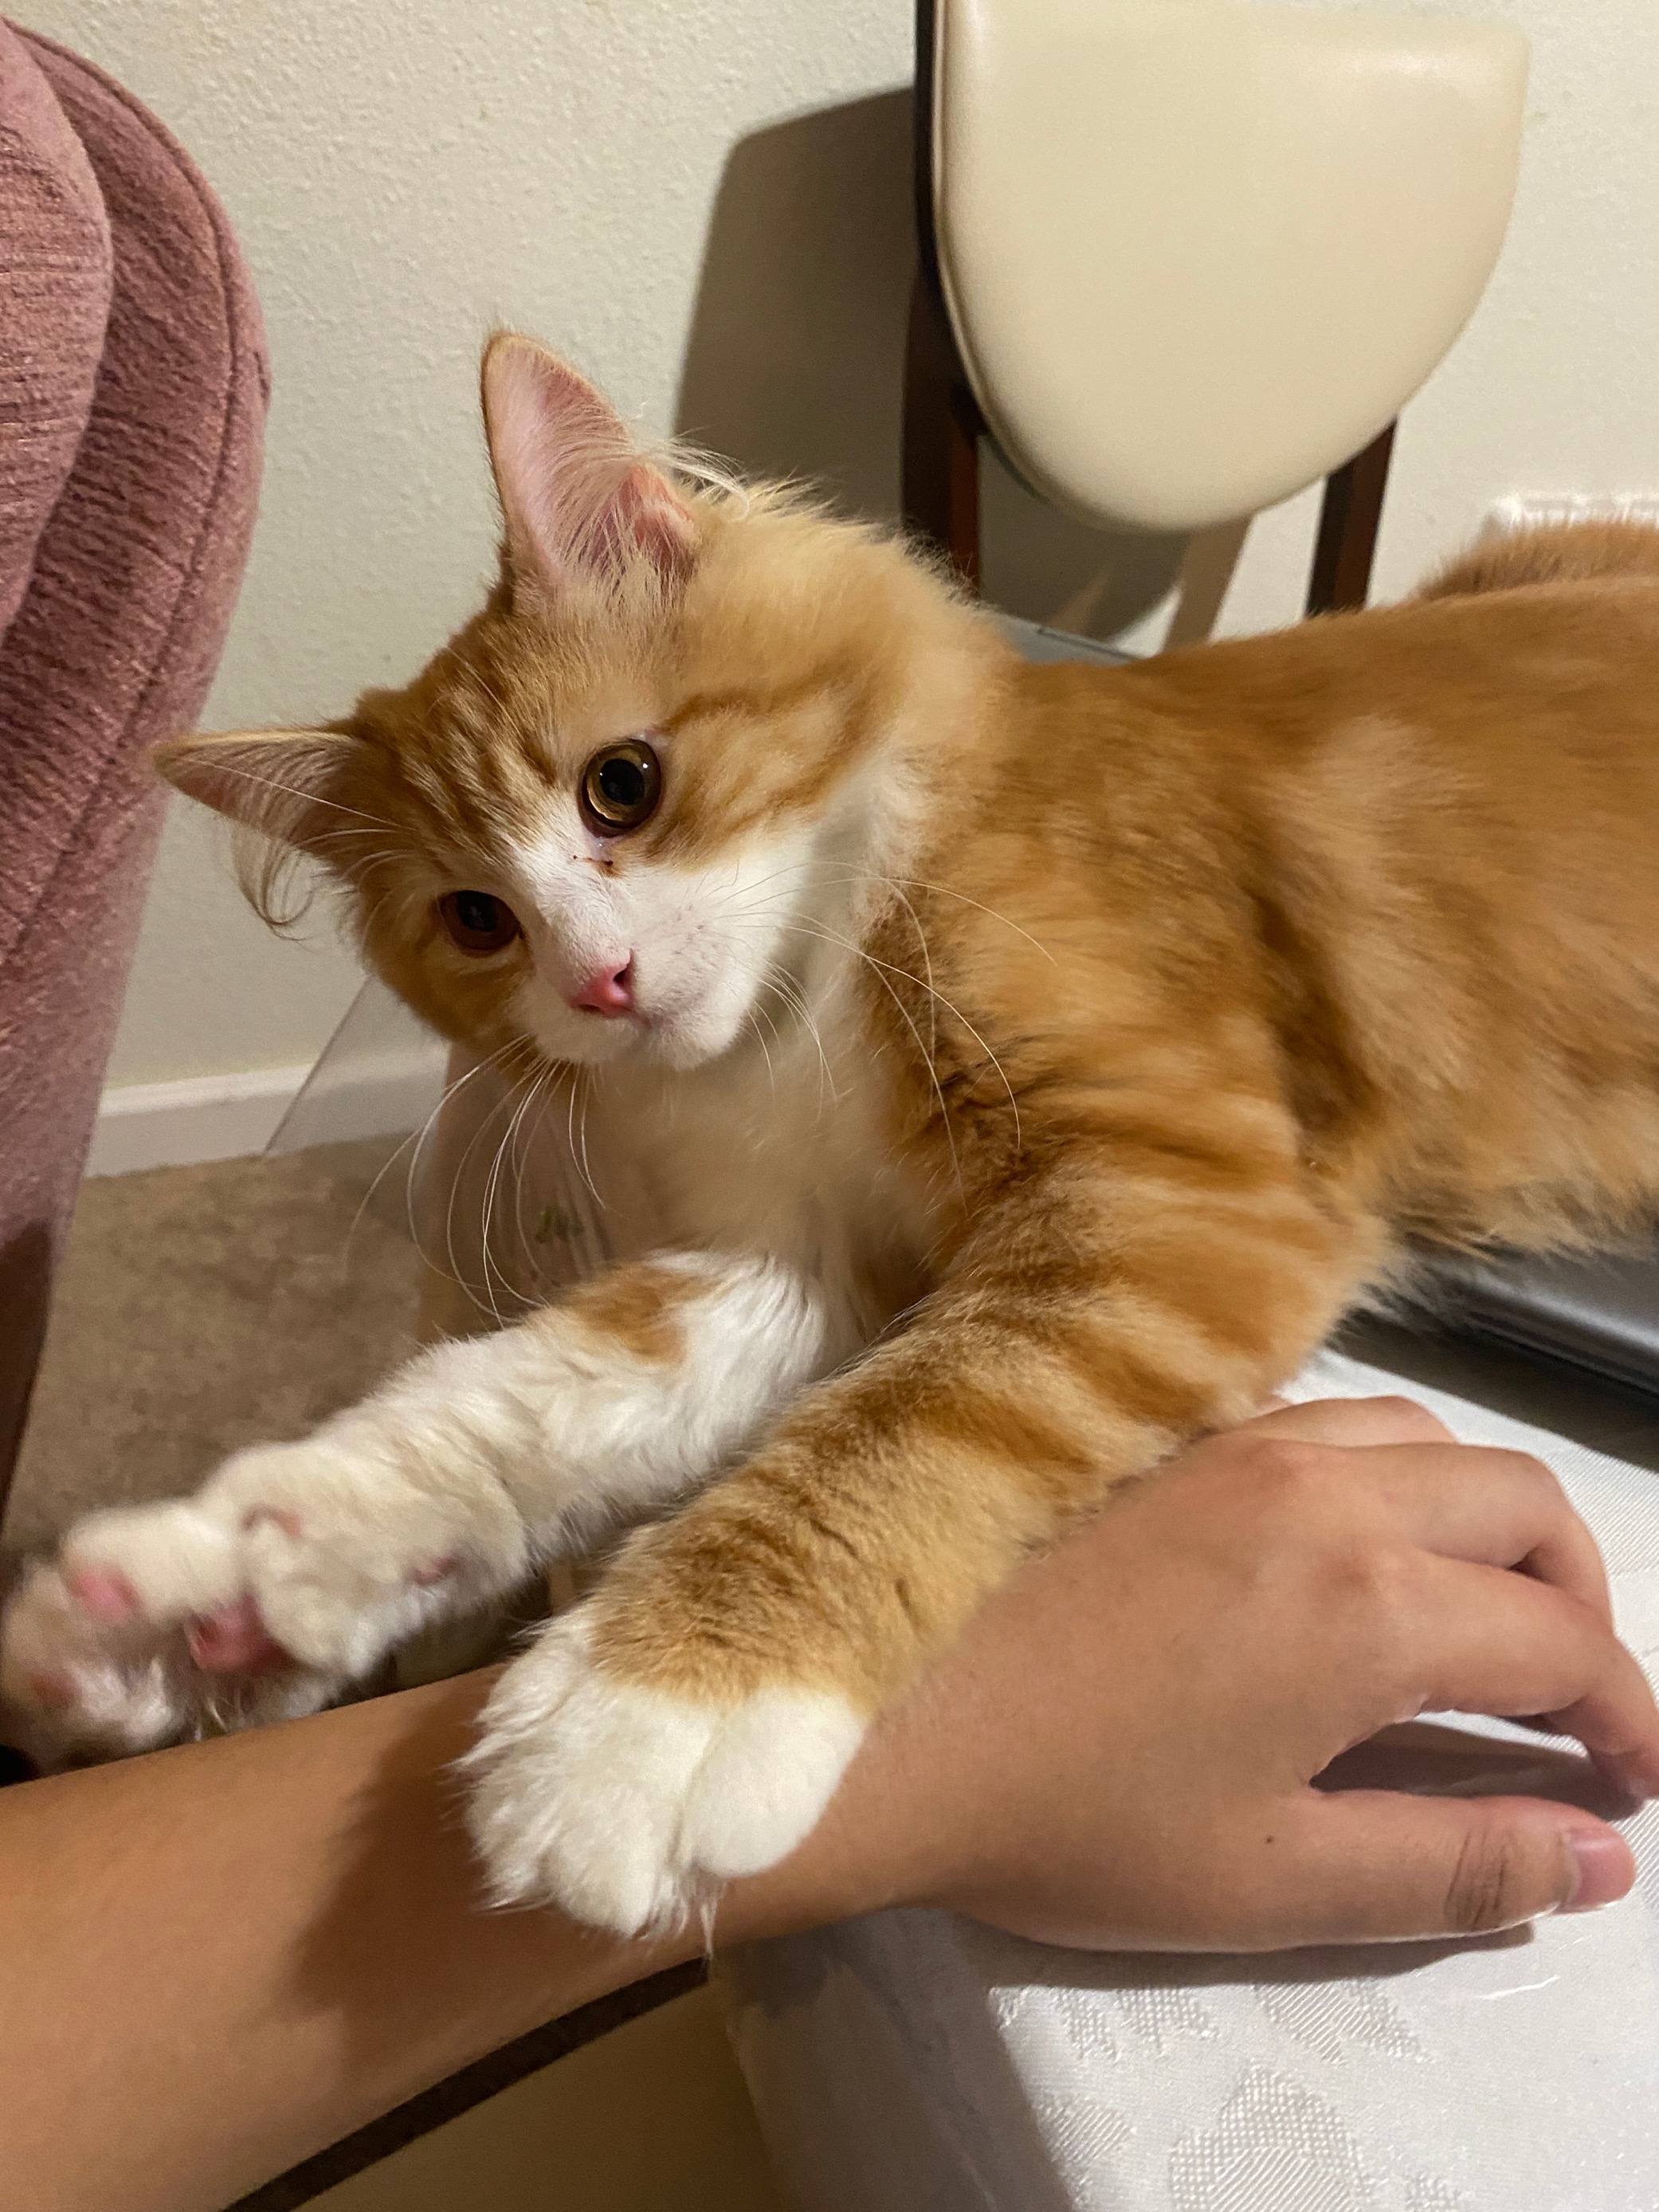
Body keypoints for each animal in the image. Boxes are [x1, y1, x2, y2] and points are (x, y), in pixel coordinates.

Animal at [7, 331, 1659, 1938]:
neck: (802, 1008)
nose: (599, 983)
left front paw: (642, 1718)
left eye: (622, 785)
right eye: (476, 920)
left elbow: (903, 1425)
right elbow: (515, 1405)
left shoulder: (1173, 1196)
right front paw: (228, 1592)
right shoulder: (796, 1267)